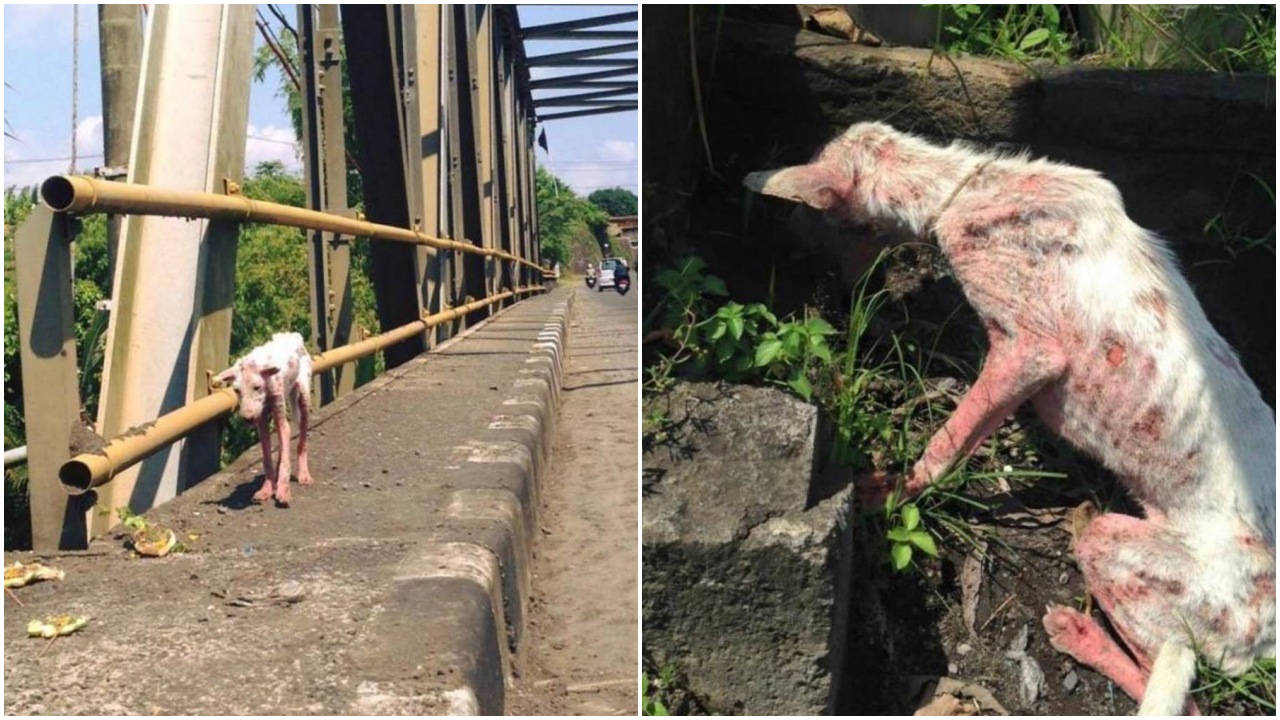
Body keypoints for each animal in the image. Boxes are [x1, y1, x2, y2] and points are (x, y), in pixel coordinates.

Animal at [747, 121, 1274, 712]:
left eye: (818, 216)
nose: (822, 294)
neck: (972, 184)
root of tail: (1267, 640)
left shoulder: (1031, 351)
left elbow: (948, 441)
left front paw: (890, 492)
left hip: (1133, 560)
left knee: (1186, 701)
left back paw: (1082, 634)